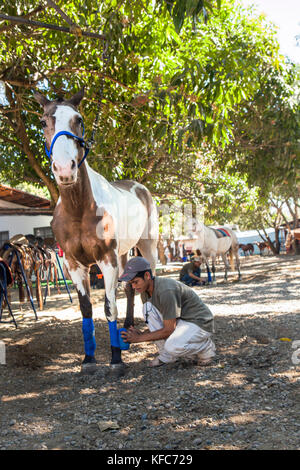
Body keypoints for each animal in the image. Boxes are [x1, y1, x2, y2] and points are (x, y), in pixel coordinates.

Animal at [33, 87, 158, 374]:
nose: (65, 169)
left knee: (148, 281)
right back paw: (127, 330)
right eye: (43, 122)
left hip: (147, 246)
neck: (80, 209)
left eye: (78, 119)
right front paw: (89, 359)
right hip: (124, 254)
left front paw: (115, 359)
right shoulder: (74, 264)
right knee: (130, 288)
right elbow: (86, 309)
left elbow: (109, 306)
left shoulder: (106, 261)